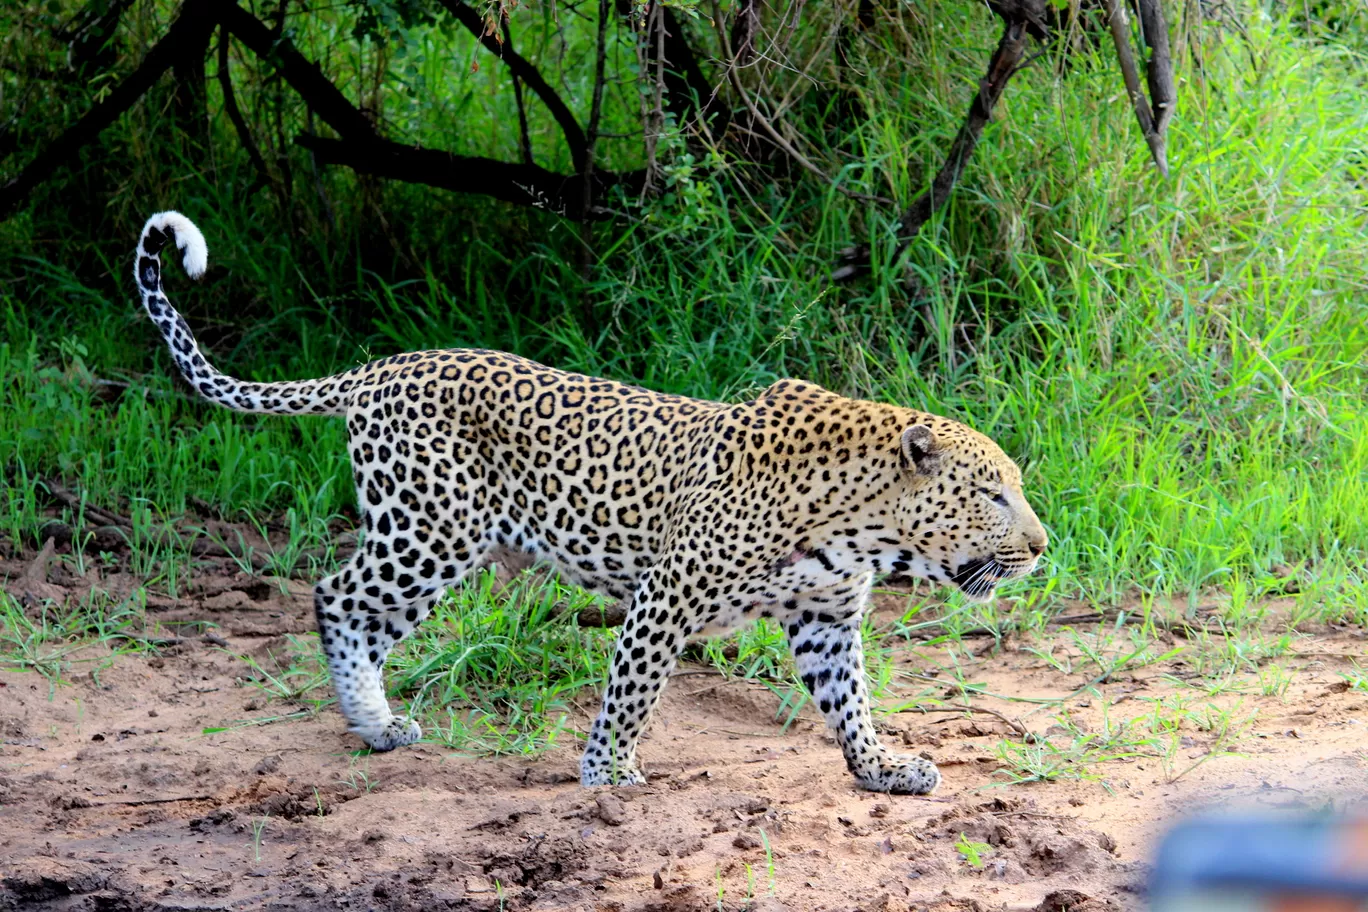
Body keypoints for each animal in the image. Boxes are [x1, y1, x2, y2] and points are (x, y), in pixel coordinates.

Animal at [130, 210, 1045, 793]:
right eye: (993, 494)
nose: (1041, 548)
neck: (861, 525)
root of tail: (379, 369)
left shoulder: (824, 615)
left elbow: (850, 701)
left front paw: (882, 768)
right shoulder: (666, 596)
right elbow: (633, 690)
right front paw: (609, 773)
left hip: (437, 542)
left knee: (367, 616)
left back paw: (378, 725)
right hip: (430, 531)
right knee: (336, 595)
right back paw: (374, 720)